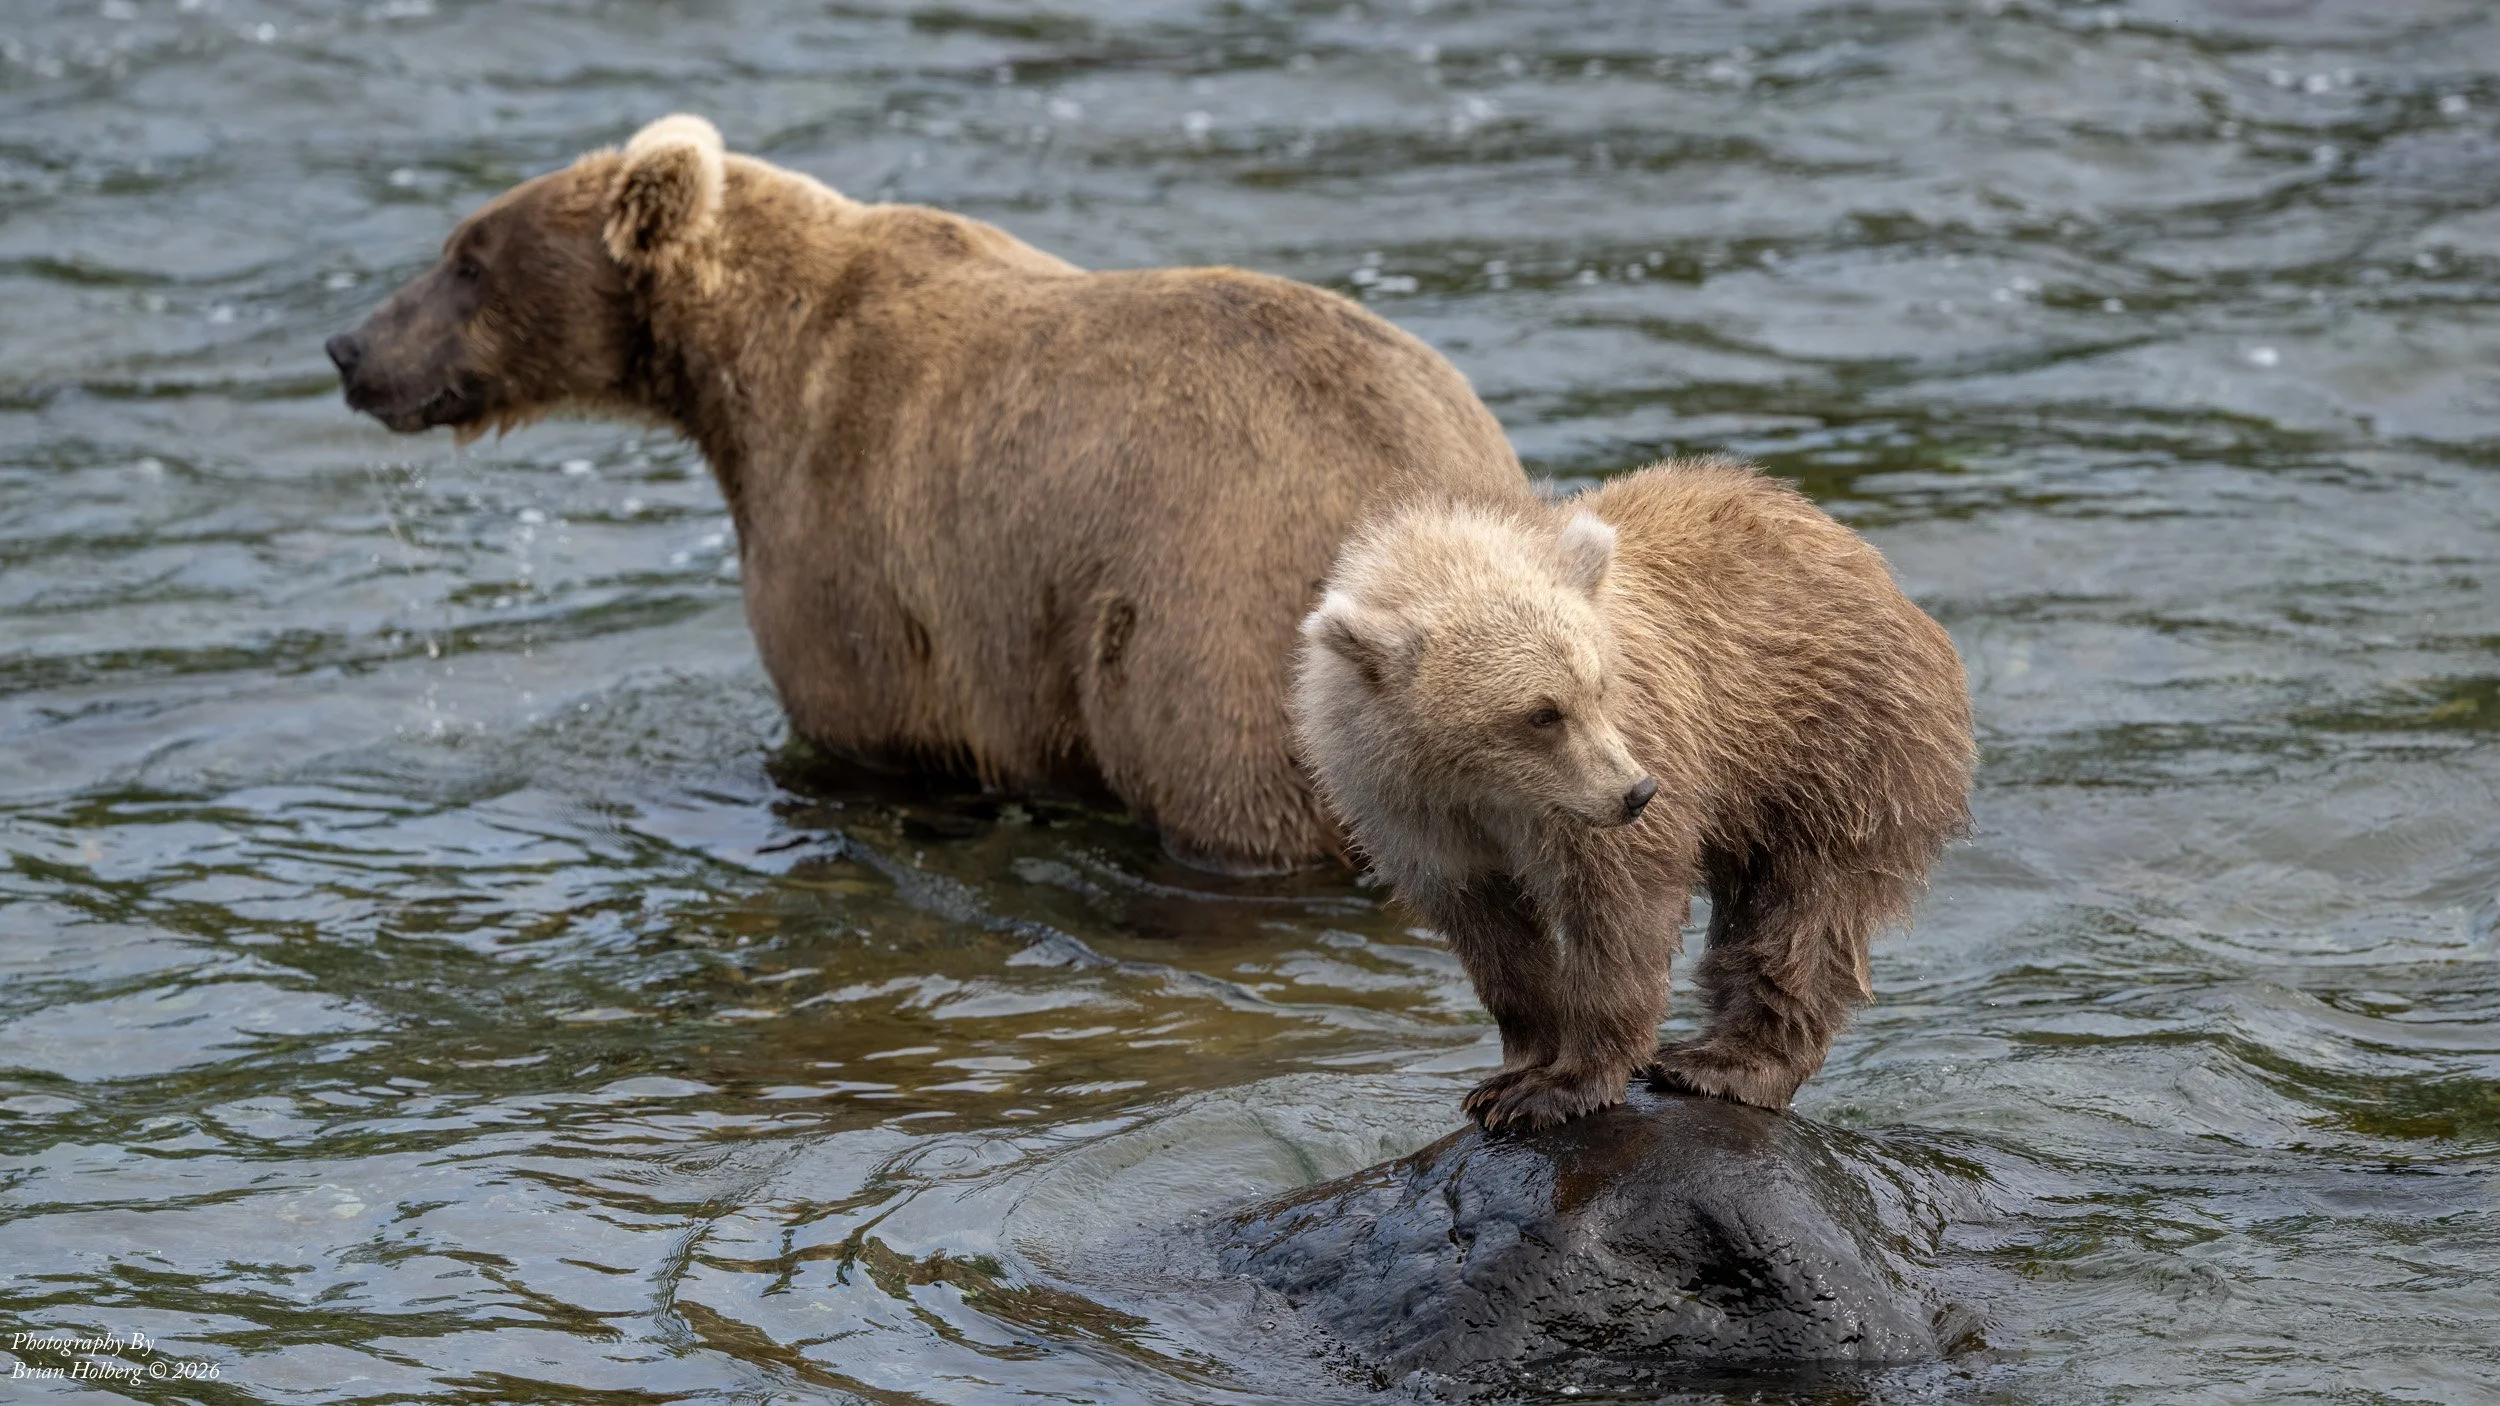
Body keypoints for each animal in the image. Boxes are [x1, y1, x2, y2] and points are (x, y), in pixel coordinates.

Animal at [326, 113, 1529, 874]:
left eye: (467, 258)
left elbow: (856, 713)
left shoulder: (846, 528)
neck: (738, 372)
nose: (349, 347)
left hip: (1213, 624)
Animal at [1293, 459, 1973, 1129]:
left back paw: (1722, 1064)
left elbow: (1620, 913)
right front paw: (1513, 1070)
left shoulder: (1619, 774)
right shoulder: (1414, 818)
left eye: (1597, 686)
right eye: (1543, 713)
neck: (1486, 791)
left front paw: (1561, 1084)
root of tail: (1868, 561)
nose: (1637, 791)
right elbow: (1492, 937)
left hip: (1830, 744)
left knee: (1804, 909)